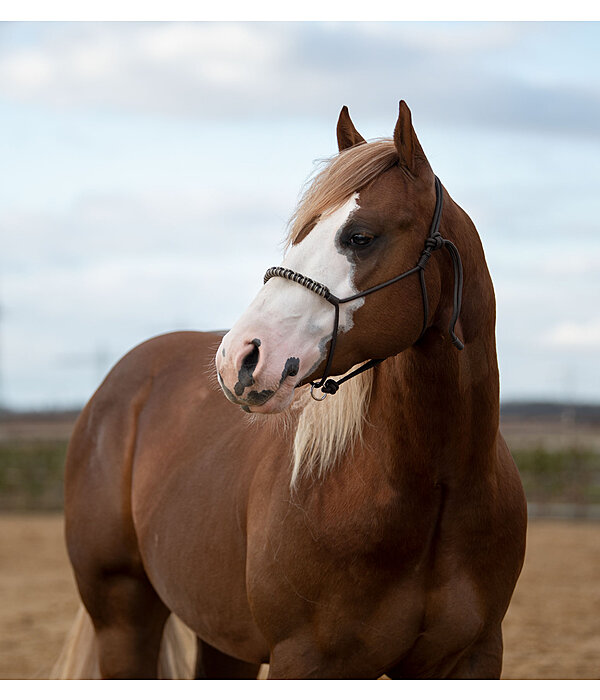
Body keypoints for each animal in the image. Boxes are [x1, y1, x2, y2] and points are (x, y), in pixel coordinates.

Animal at [54, 101, 528, 680]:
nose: (239, 357)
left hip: (224, 639)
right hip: (124, 619)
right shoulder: (306, 659)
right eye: (303, 233)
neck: (433, 488)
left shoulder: (472, 657)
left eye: (360, 236)